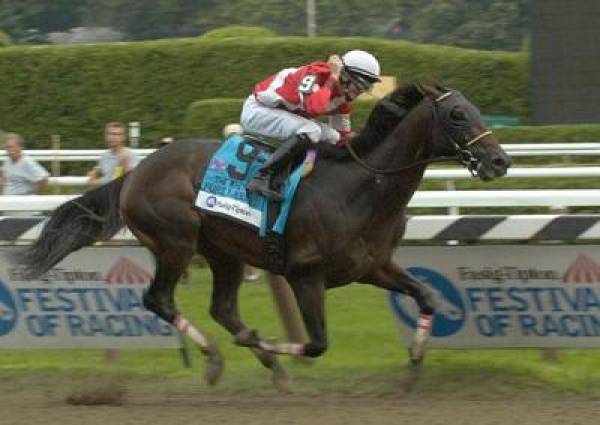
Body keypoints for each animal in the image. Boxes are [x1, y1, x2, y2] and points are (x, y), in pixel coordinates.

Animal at [16, 81, 508, 390]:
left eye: (475, 109)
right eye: (457, 114)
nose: (499, 160)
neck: (362, 187)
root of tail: (135, 171)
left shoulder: (375, 267)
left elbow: (426, 296)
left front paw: (413, 368)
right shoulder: (305, 275)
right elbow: (316, 343)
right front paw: (266, 342)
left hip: (224, 253)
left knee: (222, 307)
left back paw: (267, 364)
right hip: (176, 241)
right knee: (160, 300)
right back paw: (219, 357)